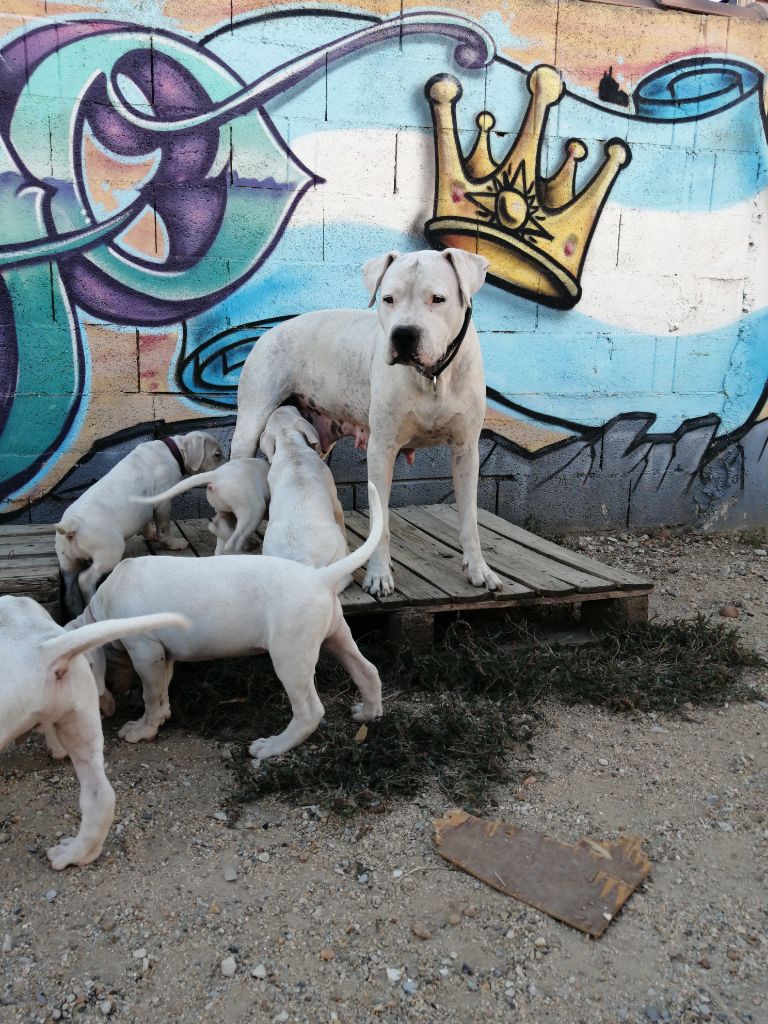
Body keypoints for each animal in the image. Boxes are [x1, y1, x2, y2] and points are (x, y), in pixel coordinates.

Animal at [55, 431, 223, 613]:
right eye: (217, 455)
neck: (175, 450)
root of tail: (73, 523)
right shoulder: (163, 503)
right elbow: (164, 528)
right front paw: (173, 544)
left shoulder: (146, 508)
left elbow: (146, 523)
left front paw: (150, 535)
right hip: (110, 552)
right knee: (85, 579)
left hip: (68, 563)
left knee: (70, 589)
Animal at [72, 483, 385, 757]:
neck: (103, 607)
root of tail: (318, 576)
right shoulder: (163, 653)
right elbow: (161, 691)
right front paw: (160, 717)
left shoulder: (145, 650)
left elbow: (151, 694)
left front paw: (142, 729)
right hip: (336, 635)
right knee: (367, 670)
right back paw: (368, 713)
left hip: (291, 655)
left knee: (309, 711)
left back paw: (272, 747)